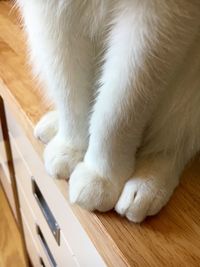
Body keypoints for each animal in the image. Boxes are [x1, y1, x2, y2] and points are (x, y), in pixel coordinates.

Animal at [17, 1, 200, 223]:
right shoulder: (51, 12)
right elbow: (70, 94)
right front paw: (70, 147)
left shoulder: (159, 19)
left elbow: (116, 113)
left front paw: (101, 177)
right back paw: (53, 126)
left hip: (189, 89)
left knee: (173, 145)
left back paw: (146, 187)